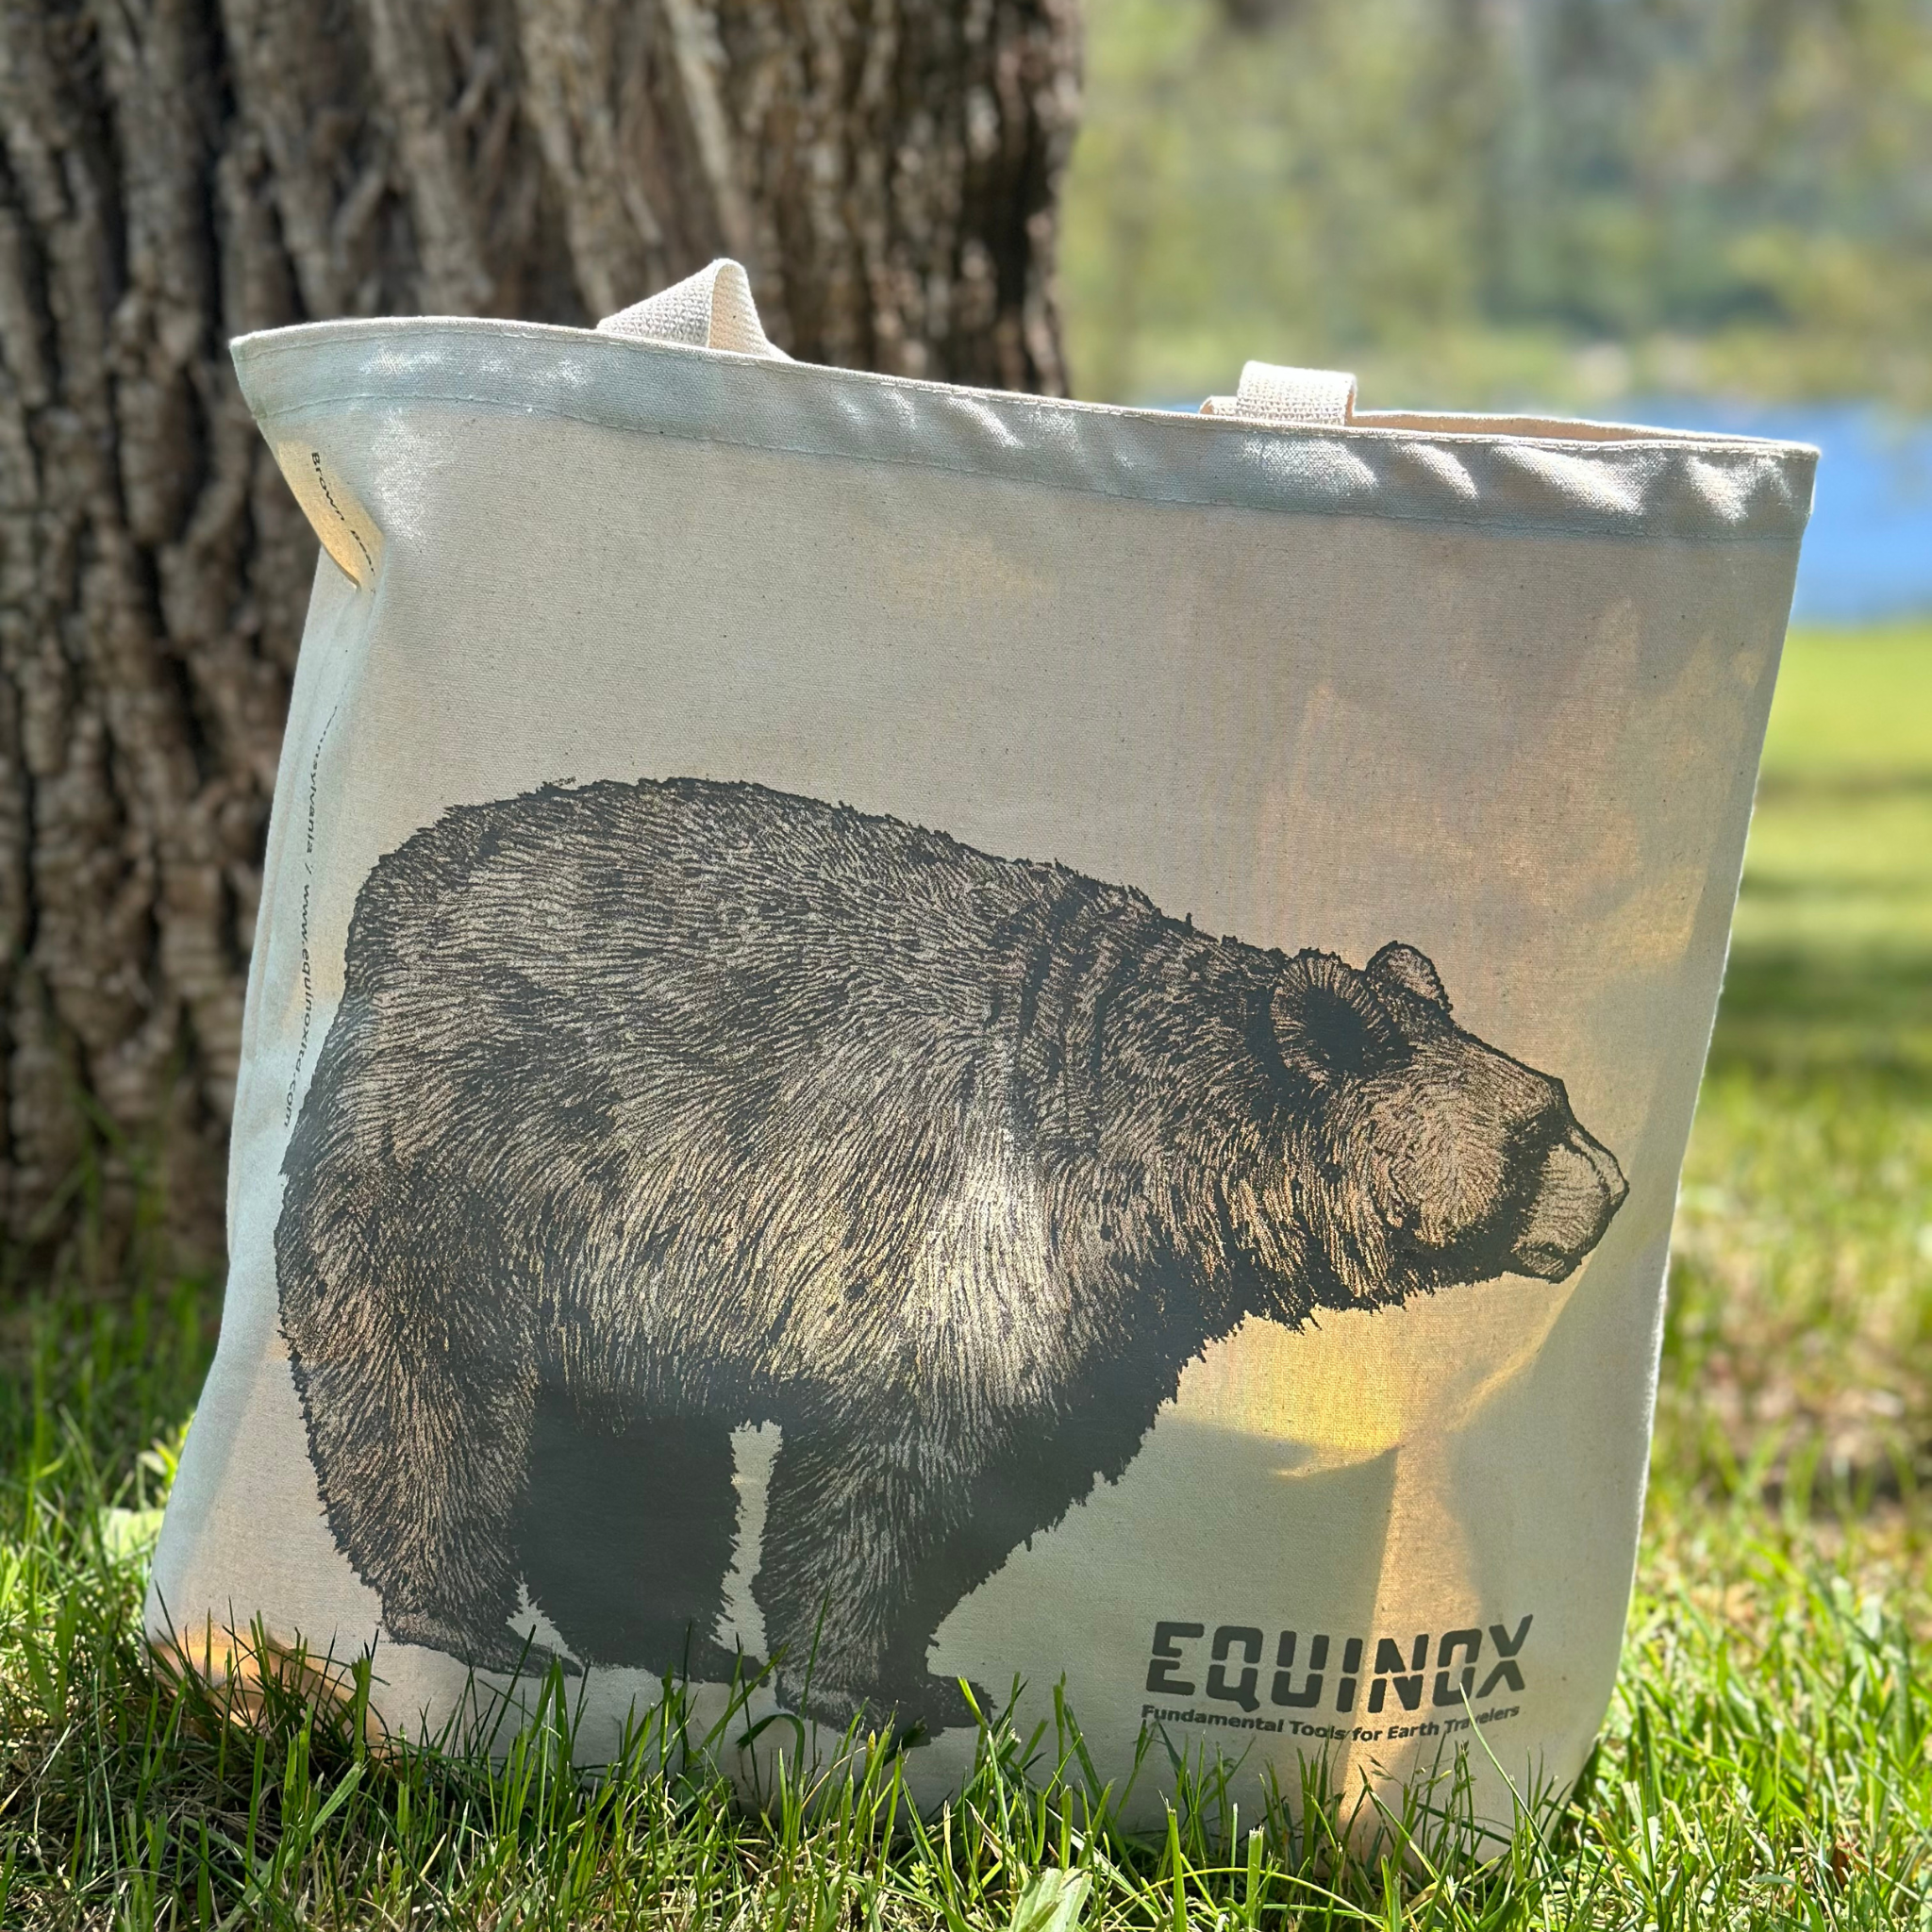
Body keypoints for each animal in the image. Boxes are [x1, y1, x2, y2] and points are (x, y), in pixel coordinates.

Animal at [276, 777, 1627, 1734]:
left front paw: (918, 1679)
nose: (1612, 1188)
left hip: (619, 1267)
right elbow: (903, 1473)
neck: (1154, 1170)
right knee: (423, 1394)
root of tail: (386, 897)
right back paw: (467, 1621)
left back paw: (669, 1641)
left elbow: (1004, 1471)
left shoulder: (1102, 1313)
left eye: (1553, 1099)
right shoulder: (972, 1226)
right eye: (1535, 1131)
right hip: (478, 1165)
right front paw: (856, 1685)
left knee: (630, 1446)